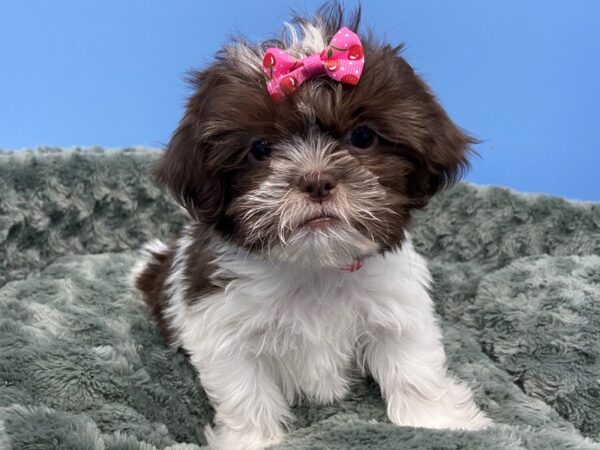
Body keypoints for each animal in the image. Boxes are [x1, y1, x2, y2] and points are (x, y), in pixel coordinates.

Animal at [135, 4, 492, 450]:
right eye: (260, 149)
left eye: (363, 137)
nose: (317, 180)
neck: (315, 265)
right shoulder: (223, 324)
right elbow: (245, 390)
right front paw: (252, 439)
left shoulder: (398, 304)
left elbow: (414, 364)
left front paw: (438, 421)